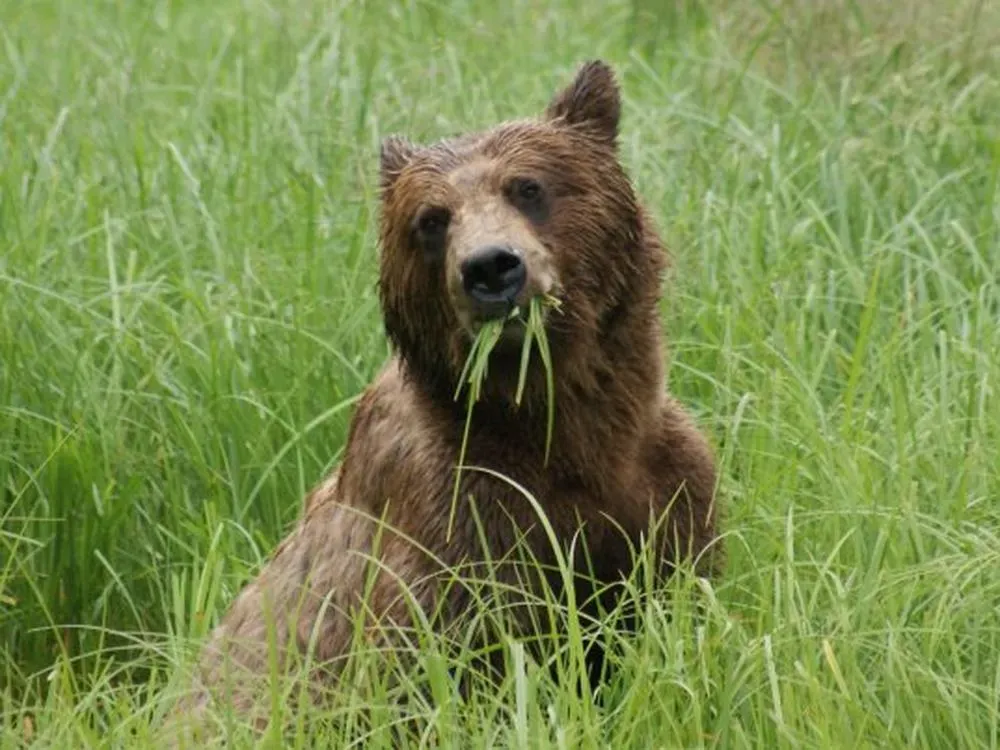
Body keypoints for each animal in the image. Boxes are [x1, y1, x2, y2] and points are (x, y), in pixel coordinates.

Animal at [173, 59, 721, 734]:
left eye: (527, 187)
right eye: (432, 219)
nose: (490, 268)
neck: (561, 427)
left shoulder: (667, 492)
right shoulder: (454, 521)